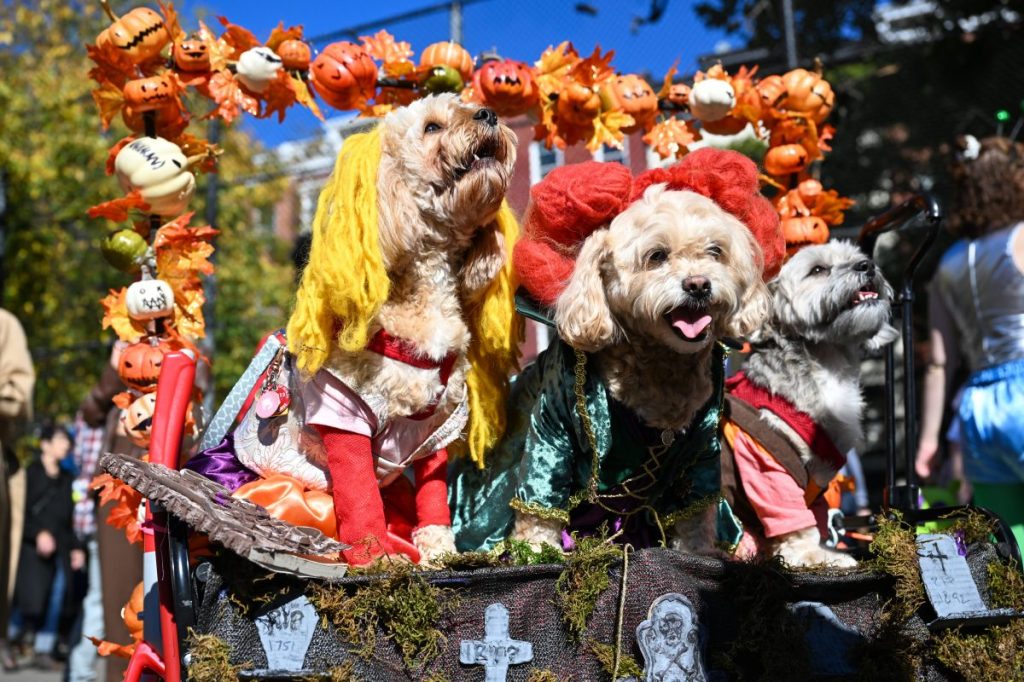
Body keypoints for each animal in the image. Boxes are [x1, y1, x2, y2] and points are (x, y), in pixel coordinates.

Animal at [280, 94, 520, 561]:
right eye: (431, 128)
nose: (488, 113)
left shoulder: (436, 429)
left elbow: (433, 496)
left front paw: (438, 551)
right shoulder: (344, 416)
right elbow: (359, 496)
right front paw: (375, 558)